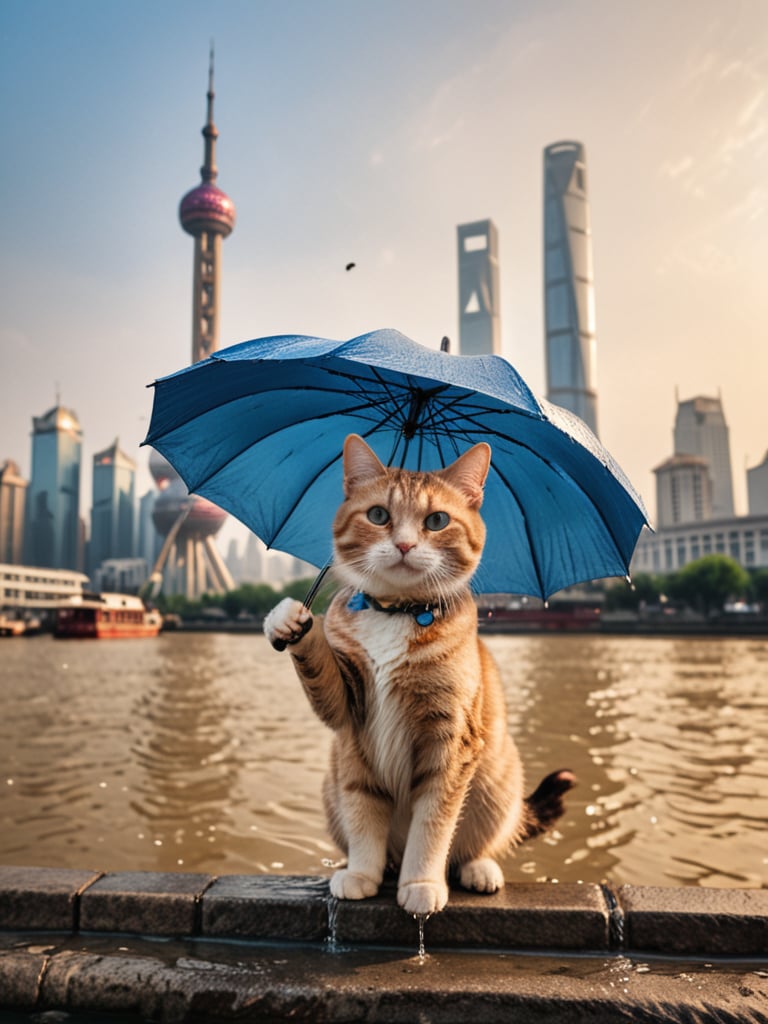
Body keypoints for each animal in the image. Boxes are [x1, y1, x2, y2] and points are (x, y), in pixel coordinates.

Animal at [264, 436, 573, 917]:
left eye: (437, 521)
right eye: (378, 515)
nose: (406, 545)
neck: (396, 611)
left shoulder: (452, 741)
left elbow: (434, 822)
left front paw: (422, 883)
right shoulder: (350, 716)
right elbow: (363, 813)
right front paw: (363, 872)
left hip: (498, 782)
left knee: (478, 842)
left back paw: (477, 870)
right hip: (331, 785)